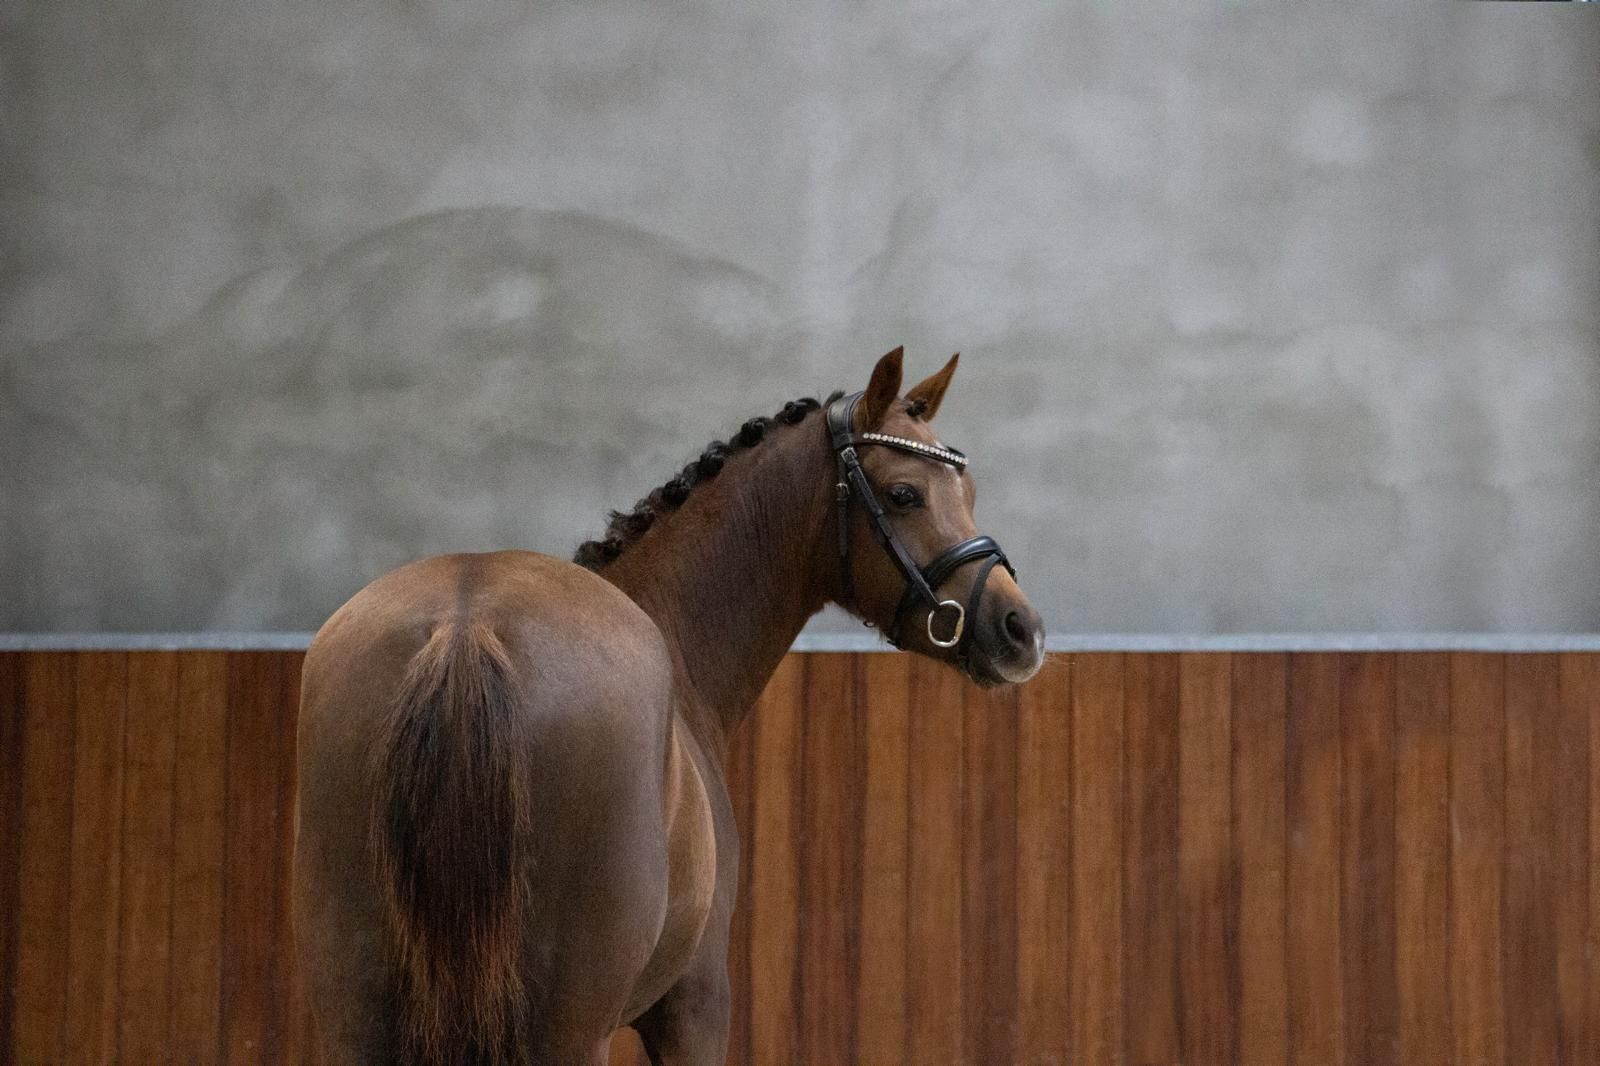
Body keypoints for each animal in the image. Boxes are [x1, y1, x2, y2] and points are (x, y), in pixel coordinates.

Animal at [292, 346, 1046, 1064]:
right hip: (570, 1027)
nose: (1021, 629)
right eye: (903, 493)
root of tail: (465, 625)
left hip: (357, 1016)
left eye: (968, 490)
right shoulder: (696, 1001)